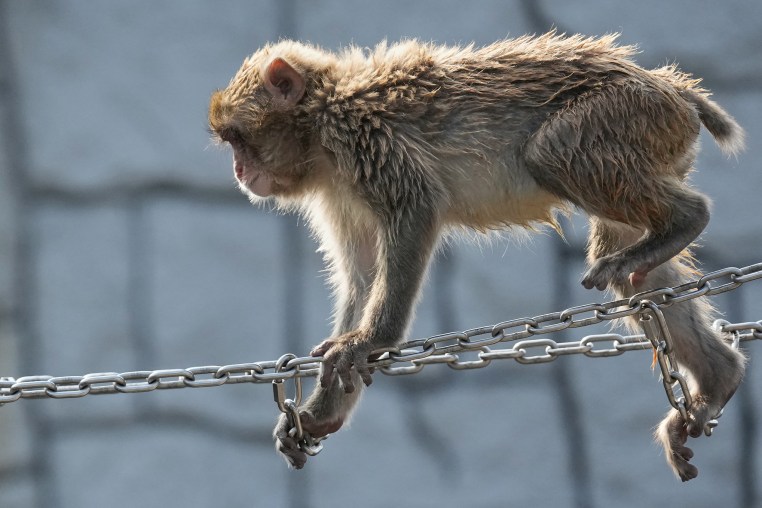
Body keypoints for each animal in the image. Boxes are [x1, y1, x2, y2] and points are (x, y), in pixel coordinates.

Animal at [208, 32, 746, 481]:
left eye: (238, 139)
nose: (239, 171)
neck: (321, 123)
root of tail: (669, 87)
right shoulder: (338, 190)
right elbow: (361, 275)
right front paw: (322, 411)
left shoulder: (365, 138)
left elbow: (414, 212)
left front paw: (369, 341)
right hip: (650, 139)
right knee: (635, 275)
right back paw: (716, 377)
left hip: (623, 114)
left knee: (551, 151)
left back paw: (686, 220)